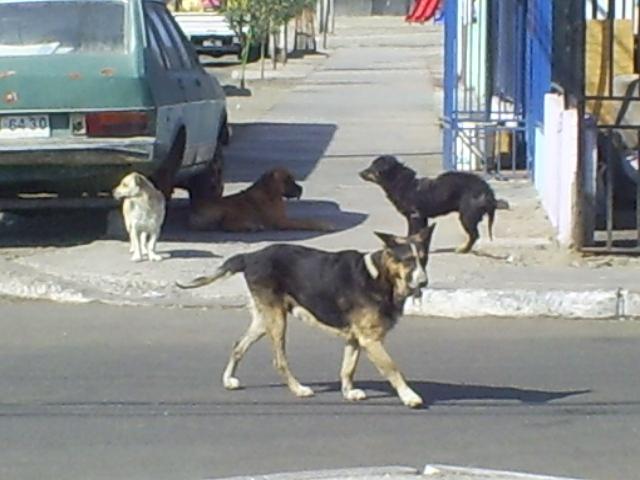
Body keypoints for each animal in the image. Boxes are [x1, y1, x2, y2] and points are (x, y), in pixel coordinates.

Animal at [188, 167, 332, 232]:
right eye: (287, 180)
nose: (301, 189)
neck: (270, 193)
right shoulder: (282, 221)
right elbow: (306, 222)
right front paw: (323, 225)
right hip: (224, 209)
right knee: (226, 225)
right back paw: (251, 226)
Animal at [360, 156, 504, 253]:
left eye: (372, 167)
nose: (359, 173)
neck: (403, 184)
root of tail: (487, 190)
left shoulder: (415, 216)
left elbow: (412, 234)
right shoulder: (420, 217)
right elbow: (415, 235)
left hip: (467, 215)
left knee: (474, 235)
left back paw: (463, 249)